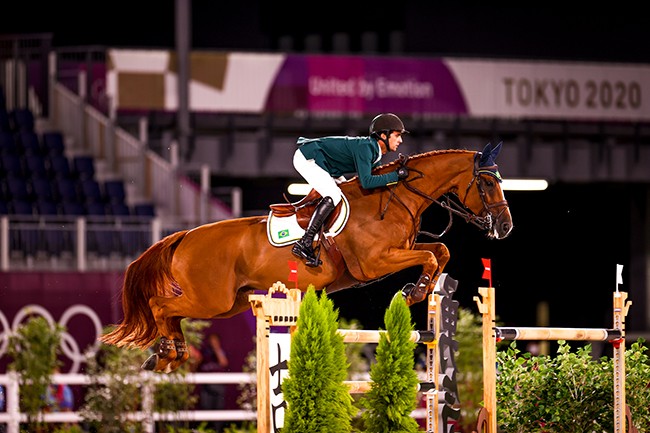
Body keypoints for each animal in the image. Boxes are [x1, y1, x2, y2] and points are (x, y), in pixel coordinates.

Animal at [101, 142, 512, 372]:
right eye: (488, 182)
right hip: (211, 299)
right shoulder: (375, 262)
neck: (396, 197)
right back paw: (167, 353)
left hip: (229, 303)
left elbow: (439, 250)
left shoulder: (396, 253)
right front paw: (414, 291)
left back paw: (169, 354)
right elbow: (429, 255)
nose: (506, 227)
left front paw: (420, 288)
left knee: (172, 313)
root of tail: (183, 236)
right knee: (160, 306)